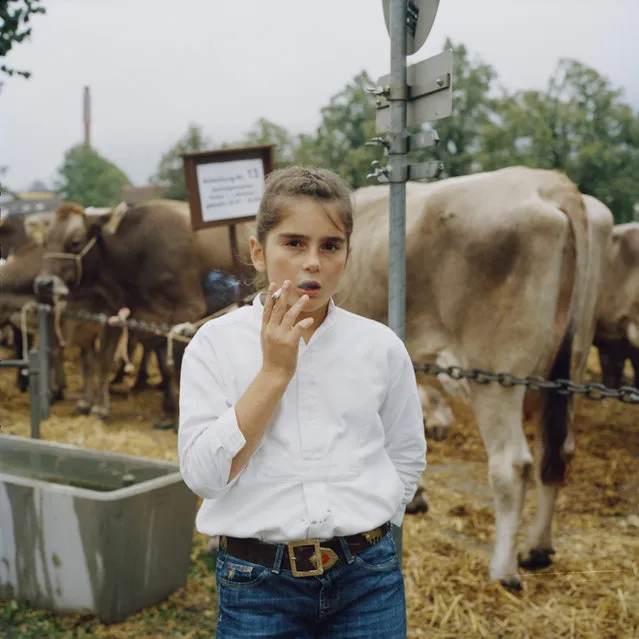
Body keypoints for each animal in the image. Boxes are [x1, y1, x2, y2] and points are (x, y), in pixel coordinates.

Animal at [332, 166, 612, 592]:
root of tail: (549, 182)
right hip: (573, 366)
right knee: (557, 452)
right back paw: (537, 549)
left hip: (496, 375)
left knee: (512, 465)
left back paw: (503, 570)